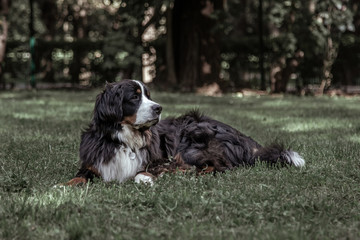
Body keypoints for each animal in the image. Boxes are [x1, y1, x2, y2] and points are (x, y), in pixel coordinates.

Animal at [64, 79, 304, 187]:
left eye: (149, 95)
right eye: (134, 97)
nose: (158, 108)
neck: (125, 141)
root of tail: (248, 142)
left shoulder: (160, 160)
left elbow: (142, 172)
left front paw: (147, 179)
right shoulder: (93, 163)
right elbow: (79, 176)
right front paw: (63, 186)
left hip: (193, 136)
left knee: (220, 166)